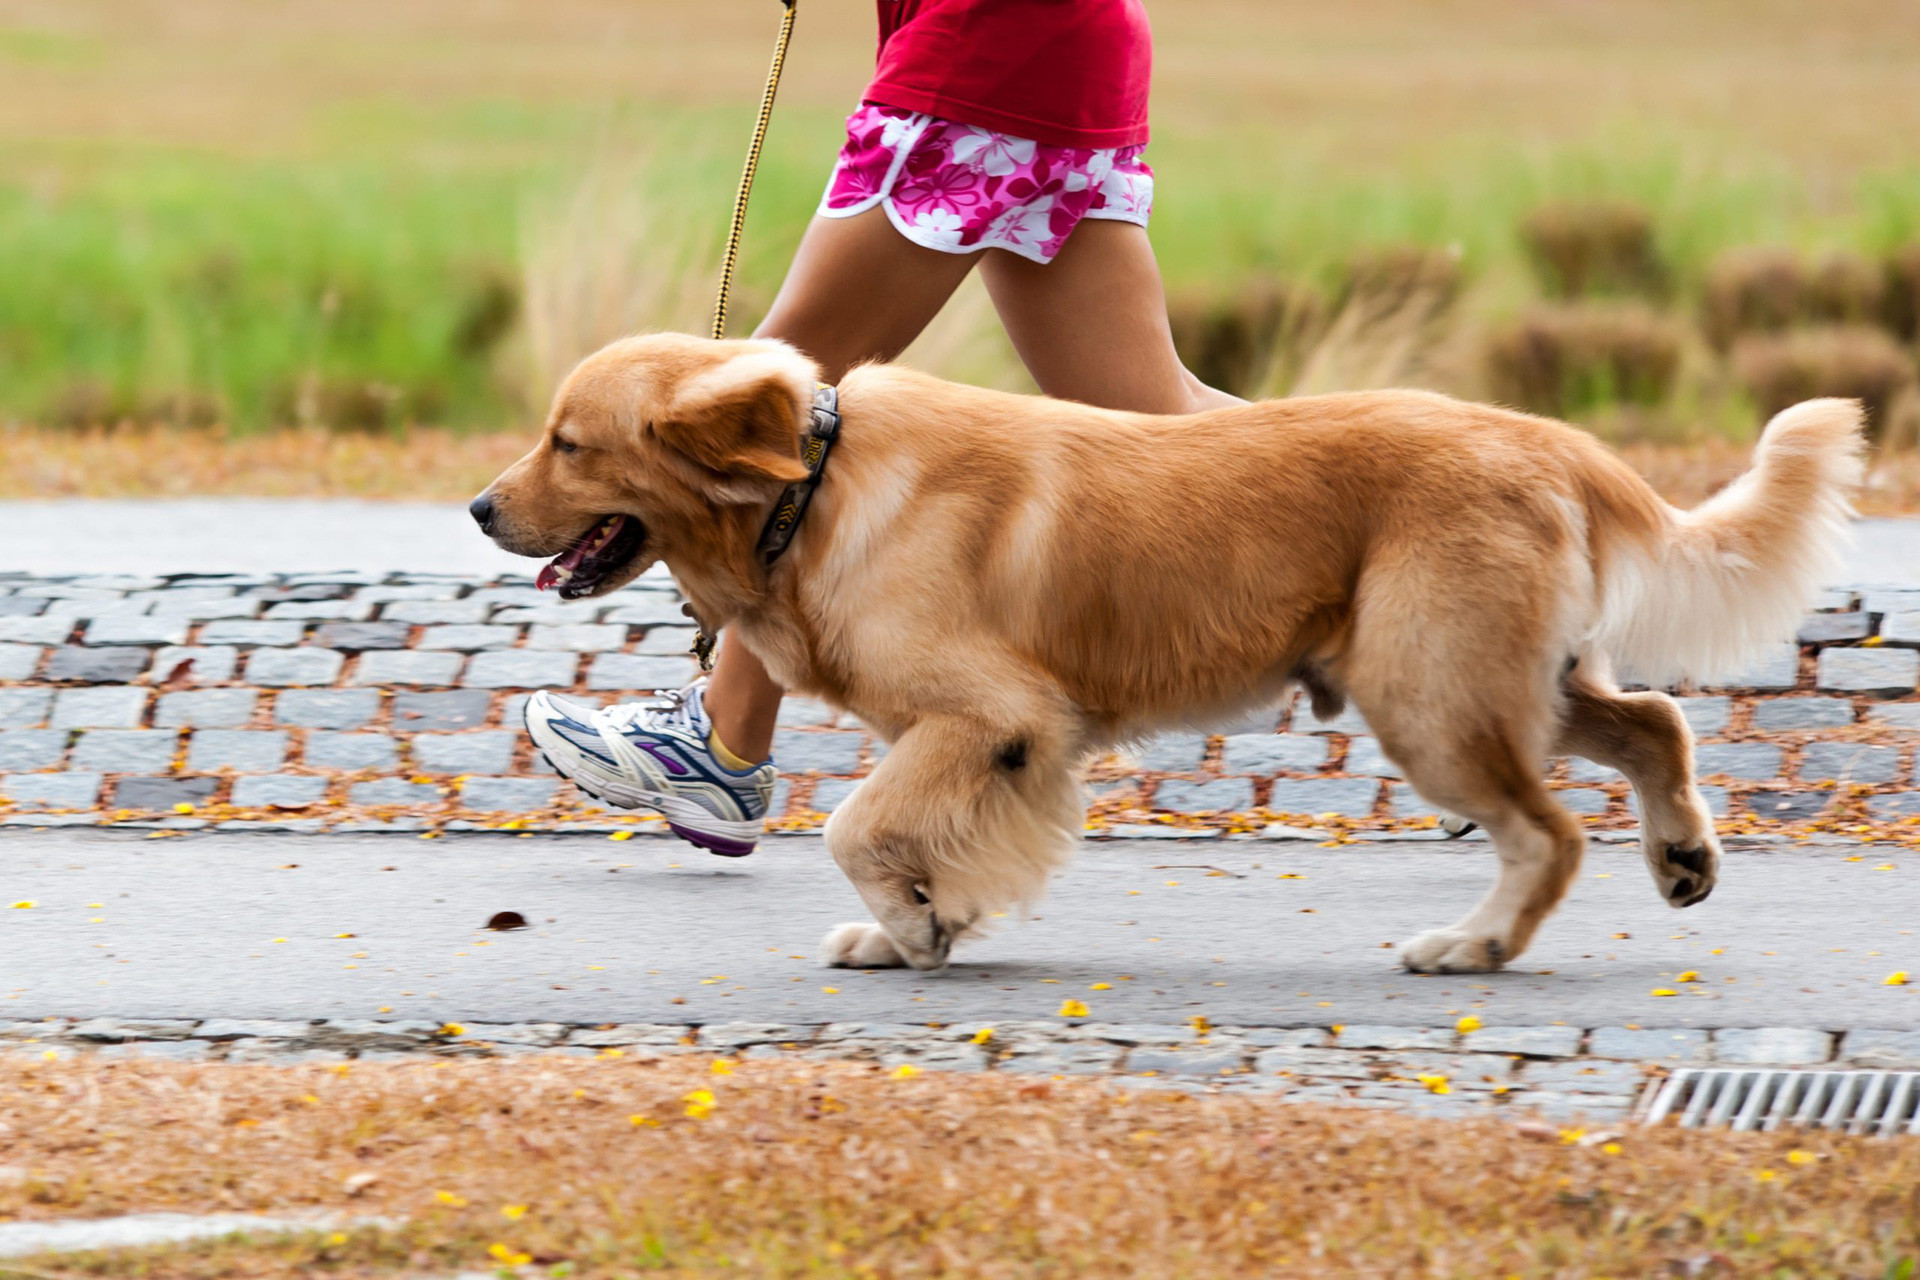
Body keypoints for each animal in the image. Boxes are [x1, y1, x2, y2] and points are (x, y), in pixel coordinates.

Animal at [476, 335, 1858, 974]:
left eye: (568, 442)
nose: (482, 510)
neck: (810, 489)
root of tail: (1546, 436)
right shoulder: (993, 746)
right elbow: (925, 834)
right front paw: (927, 918)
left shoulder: (995, 716)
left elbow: (857, 826)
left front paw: (912, 925)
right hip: (1500, 680)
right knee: (1656, 725)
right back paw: (1680, 855)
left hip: (1429, 692)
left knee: (1551, 832)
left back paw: (1472, 944)